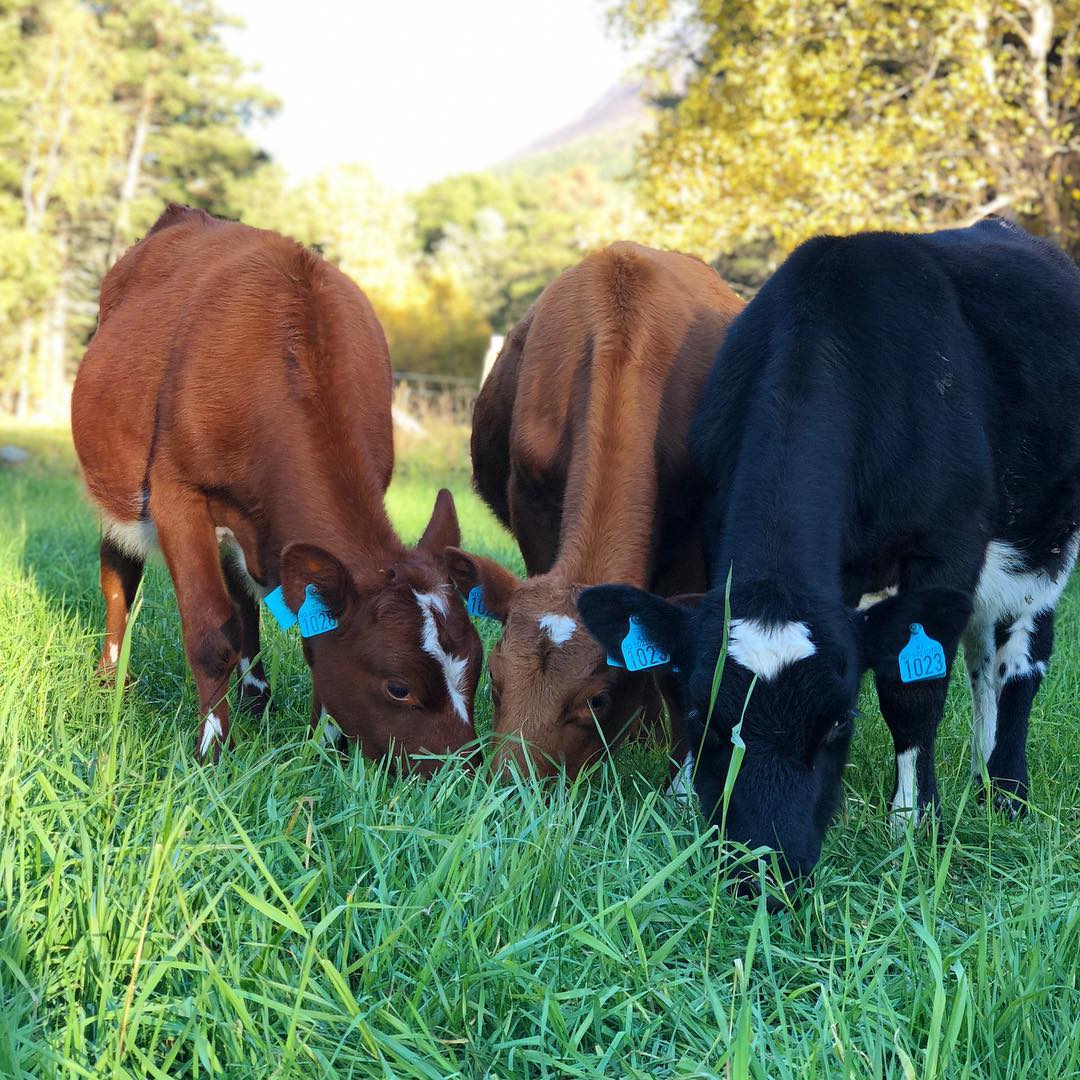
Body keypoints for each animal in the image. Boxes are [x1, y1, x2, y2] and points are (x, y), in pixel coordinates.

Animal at [71, 205, 483, 769]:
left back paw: (256, 695)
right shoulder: (177, 491)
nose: (466, 768)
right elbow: (210, 629)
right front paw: (213, 749)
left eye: (479, 666)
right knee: (119, 576)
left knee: (243, 592)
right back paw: (111, 679)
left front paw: (325, 742)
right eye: (398, 687)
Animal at [577, 219, 1080, 892]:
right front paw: (681, 796)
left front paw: (912, 823)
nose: (765, 867)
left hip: (1043, 549)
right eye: (701, 713)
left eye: (841, 721)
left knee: (1017, 664)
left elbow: (912, 690)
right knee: (980, 661)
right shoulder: (717, 526)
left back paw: (1003, 794)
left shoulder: (947, 548)